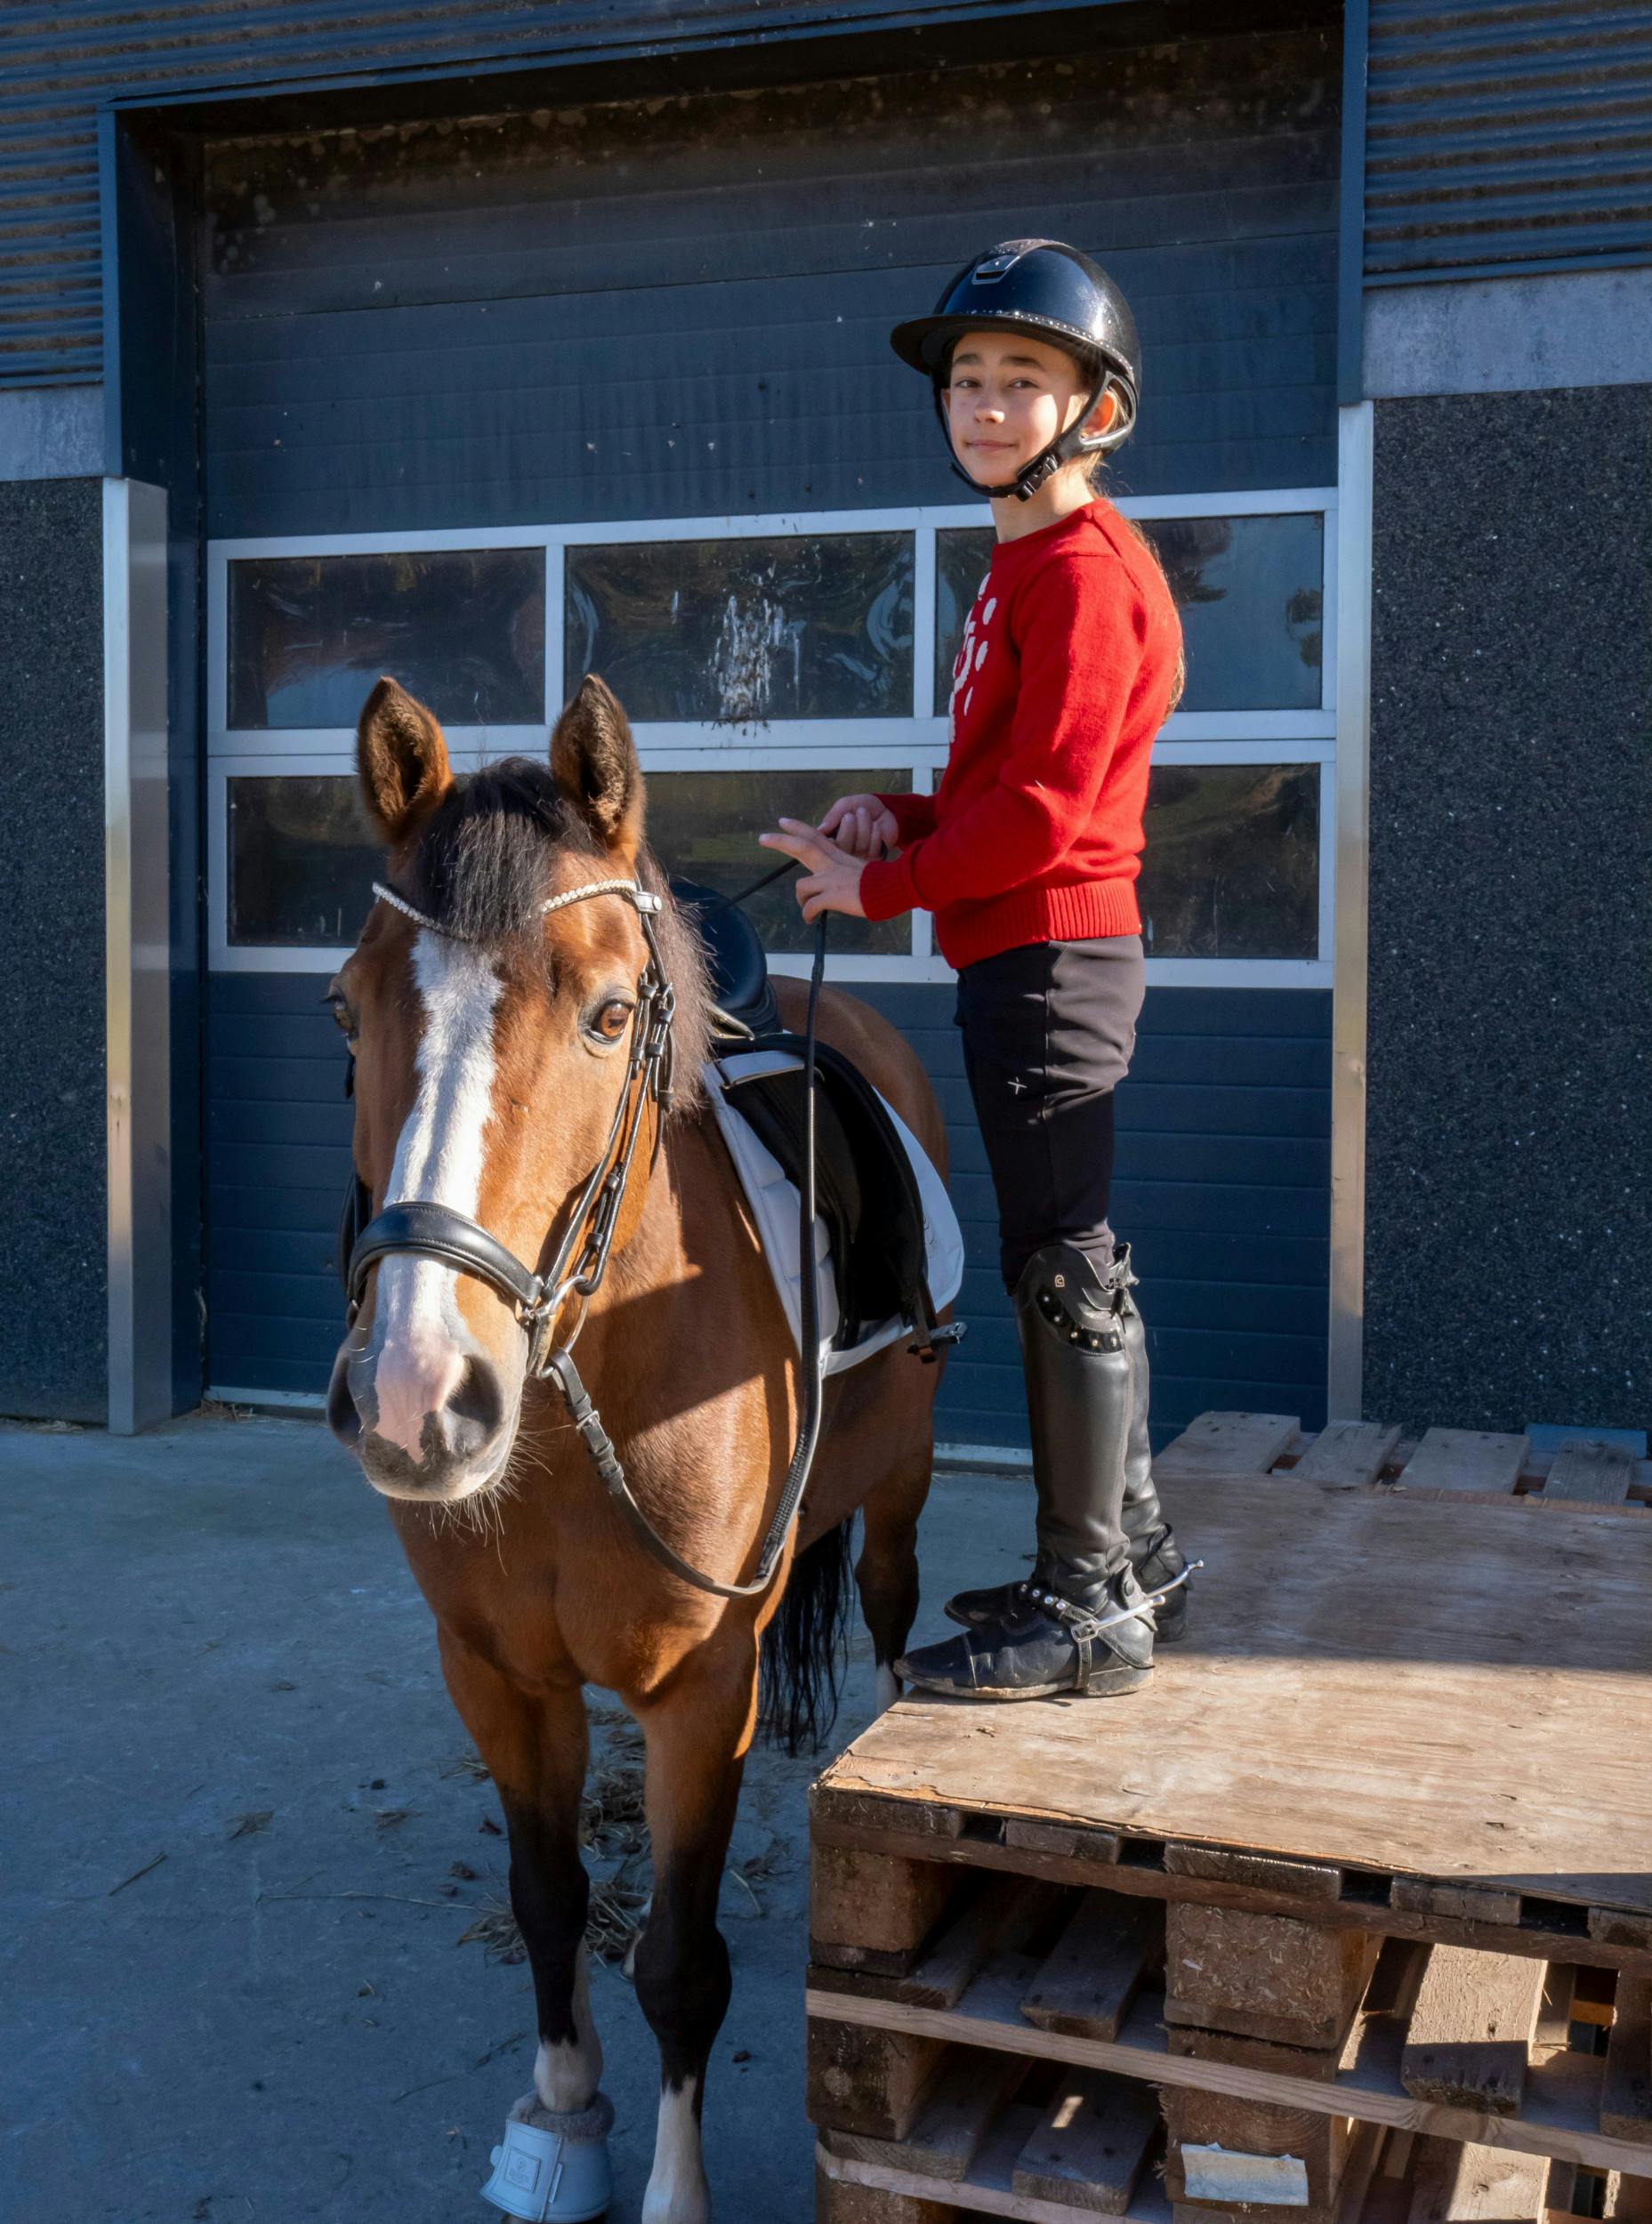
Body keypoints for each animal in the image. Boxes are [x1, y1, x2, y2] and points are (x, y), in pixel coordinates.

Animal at [326, 676, 942, 2224]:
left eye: (610, 1015)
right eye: (345, 1009)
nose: (417, 1395)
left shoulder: (698, 1694)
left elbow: (676, 1962)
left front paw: (672, 2189)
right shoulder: (498, 1678)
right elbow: (550, 1903)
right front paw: (562, 2117)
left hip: (900, 1486)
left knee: (891, 1611)